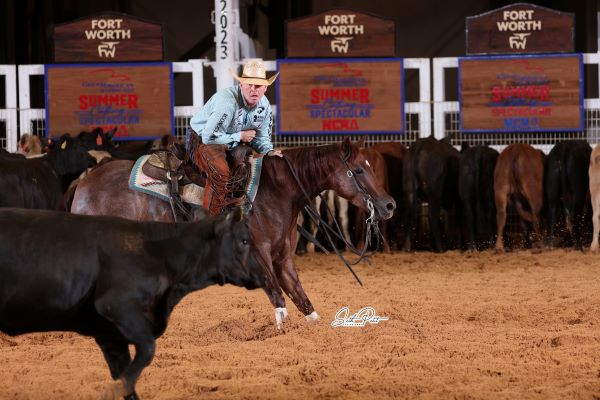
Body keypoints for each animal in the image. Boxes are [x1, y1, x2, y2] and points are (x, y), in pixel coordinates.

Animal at [0, 208, 264, 398]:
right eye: (244, 241)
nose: (264, 275)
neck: (161, 253)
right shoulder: (116, 305)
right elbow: (147, 350)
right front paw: (111, 391)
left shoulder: (111, 337)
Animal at [70, 139, 396, 326]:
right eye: (358, 170)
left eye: (370, 165)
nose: (389, 204)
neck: (277, 191)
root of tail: (84, 182)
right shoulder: (258, 253)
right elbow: (278, 297)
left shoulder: (283, 258)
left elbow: (301, 297)